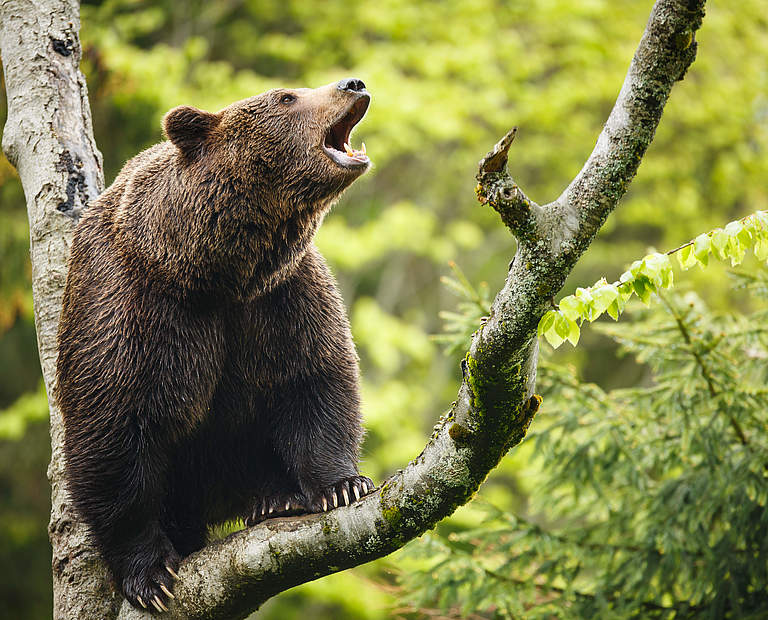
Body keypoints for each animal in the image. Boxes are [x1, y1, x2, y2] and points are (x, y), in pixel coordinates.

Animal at [57, 76, 376, 612]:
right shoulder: (137, 308)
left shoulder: (281, 296)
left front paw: (343, 485)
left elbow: (314, 379)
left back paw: (273, 498)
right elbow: (116, 428)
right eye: (286, 97)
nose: (354, 83)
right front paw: (149, 574)